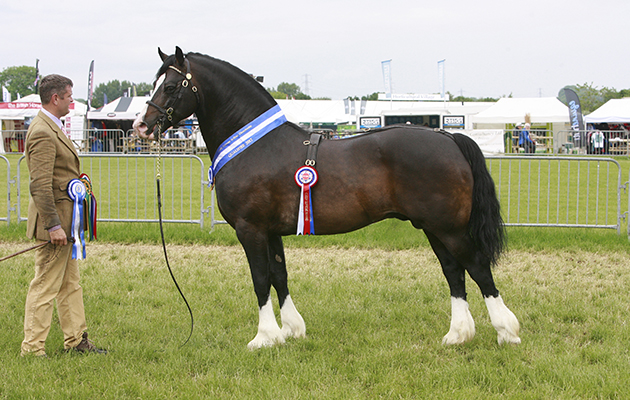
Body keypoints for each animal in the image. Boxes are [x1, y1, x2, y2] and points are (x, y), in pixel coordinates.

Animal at [135, 46, 524, 346]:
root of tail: (448, 137)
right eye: (154, 84)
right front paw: (291, 331)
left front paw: (264, 337)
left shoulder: (250, 229)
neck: (256, 144)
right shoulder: (271, 231)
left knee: (477, 268)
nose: (142, 126)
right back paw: (458, 334)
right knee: (454, 272)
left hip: (449, 228)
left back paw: (506, 332)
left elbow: (260, 279)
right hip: (433, 227)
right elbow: (279, 276)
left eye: (171, 86)